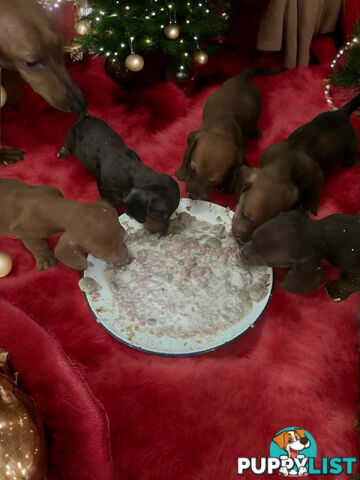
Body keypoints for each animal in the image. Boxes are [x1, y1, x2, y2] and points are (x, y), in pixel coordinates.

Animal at [0, 179, 129, 272]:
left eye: (124, 237)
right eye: (103, 254)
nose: (127, 260)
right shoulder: (23, 232)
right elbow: (37, 245)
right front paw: (45, 259)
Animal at [175, 67, 286, 199]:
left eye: (216, 181)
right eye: (192, 169)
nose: (192, 195)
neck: (221, 130)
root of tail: (244, 76)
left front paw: (227, 187)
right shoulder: (194, 137)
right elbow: (186, 154)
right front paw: (182, 173)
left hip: (255, 111)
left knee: (252, 123)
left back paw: (255, 132)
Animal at [231, 93, 360, 244]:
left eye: (265, 224)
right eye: (245, 215)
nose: (241, 240)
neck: (284, 161)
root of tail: (342, 113)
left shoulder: (316, 174)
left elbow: (314, 192)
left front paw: (309, 207)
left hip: (351, 145)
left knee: (353, 156)